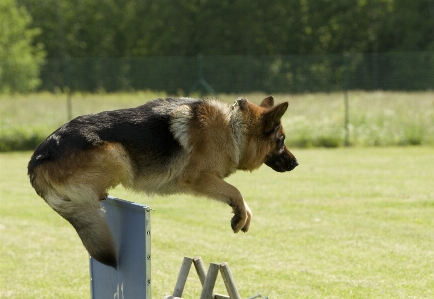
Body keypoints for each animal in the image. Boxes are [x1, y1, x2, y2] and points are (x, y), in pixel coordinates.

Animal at [28, 95, 298, 268]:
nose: (296, 164)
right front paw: (240, 215)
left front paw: (243, 215)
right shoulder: (198, 178)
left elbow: (239, 197)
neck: (233, 127)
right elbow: (236, 191)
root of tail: (38, 156)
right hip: (118, 154)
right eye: (282, 140)